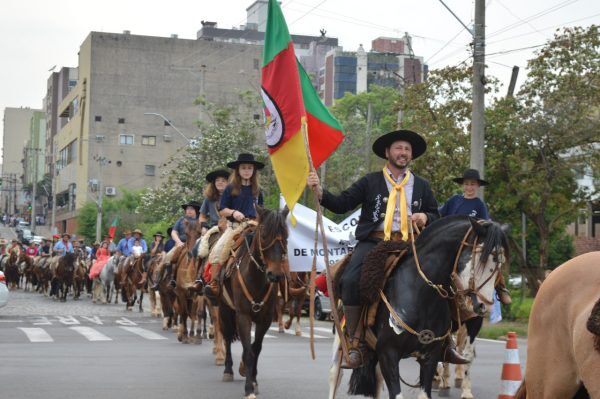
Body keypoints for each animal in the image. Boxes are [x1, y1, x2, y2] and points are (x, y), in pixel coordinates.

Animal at [218, 206, 290, 399]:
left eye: (286, 234)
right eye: (264, 235)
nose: (275, 275)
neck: (256, 277)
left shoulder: (265, 319)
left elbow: (255, 348)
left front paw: (254, 381)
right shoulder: (243, 316)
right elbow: (248, 351)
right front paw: (249, 389)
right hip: (224, 309)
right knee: (227, 336)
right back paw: (228, 370)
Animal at [332, 217, 510, 399]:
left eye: (501, 263)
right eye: (481, 258)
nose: (484, 306)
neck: (418, 293)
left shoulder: (430, 357)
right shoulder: (388, 354)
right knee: (335, 376)